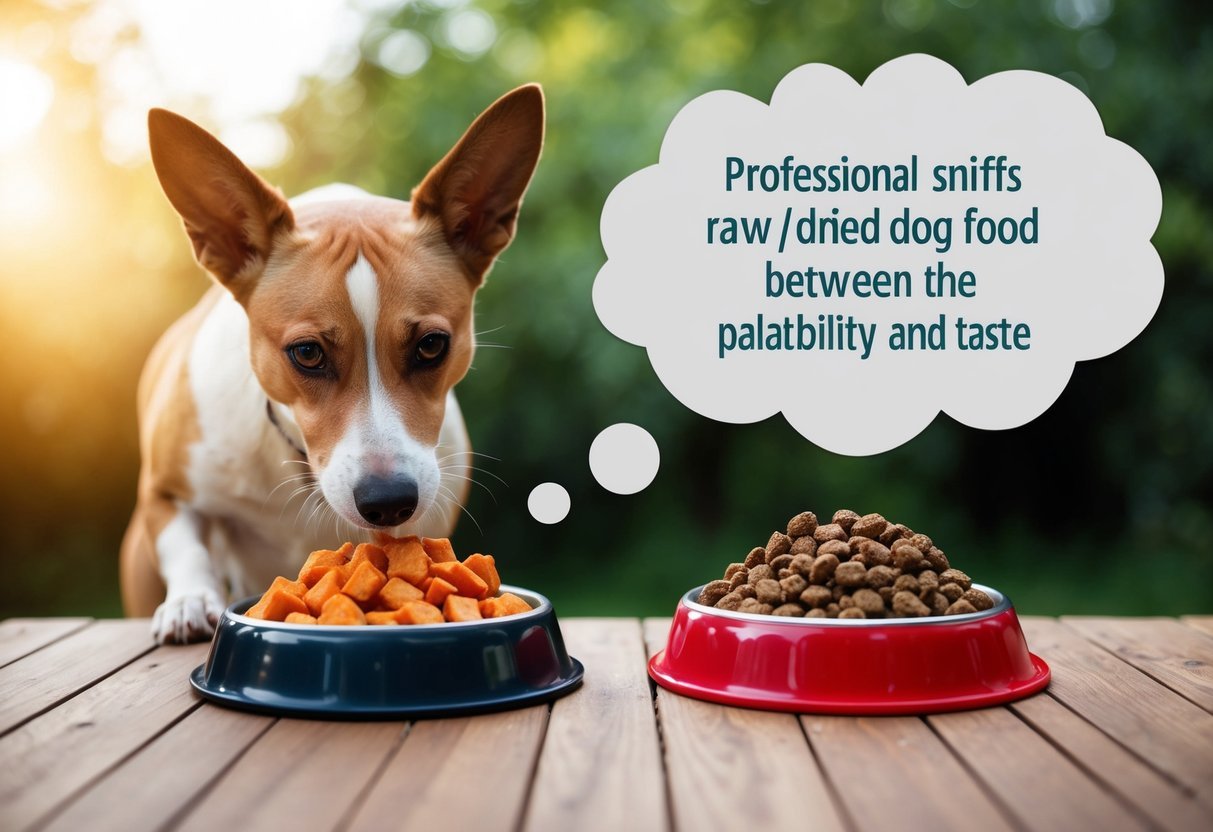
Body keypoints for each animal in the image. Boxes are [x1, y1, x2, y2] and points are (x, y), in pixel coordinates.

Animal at [119, 86, 545, 645]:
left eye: (432, 345)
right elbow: (185, 544)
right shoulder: (164, 492)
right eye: (307, 353)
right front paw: (190, 602)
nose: (388, 500)